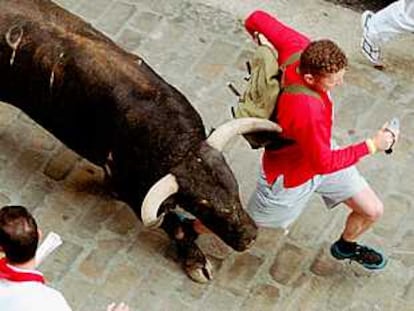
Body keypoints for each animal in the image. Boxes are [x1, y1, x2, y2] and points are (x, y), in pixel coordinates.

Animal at [0, 0, 282, 282]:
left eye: (234, 187)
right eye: (202, 206)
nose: (249, 237)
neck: (180, 147)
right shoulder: (129, 188)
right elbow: (174, 225)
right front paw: (195, 261)